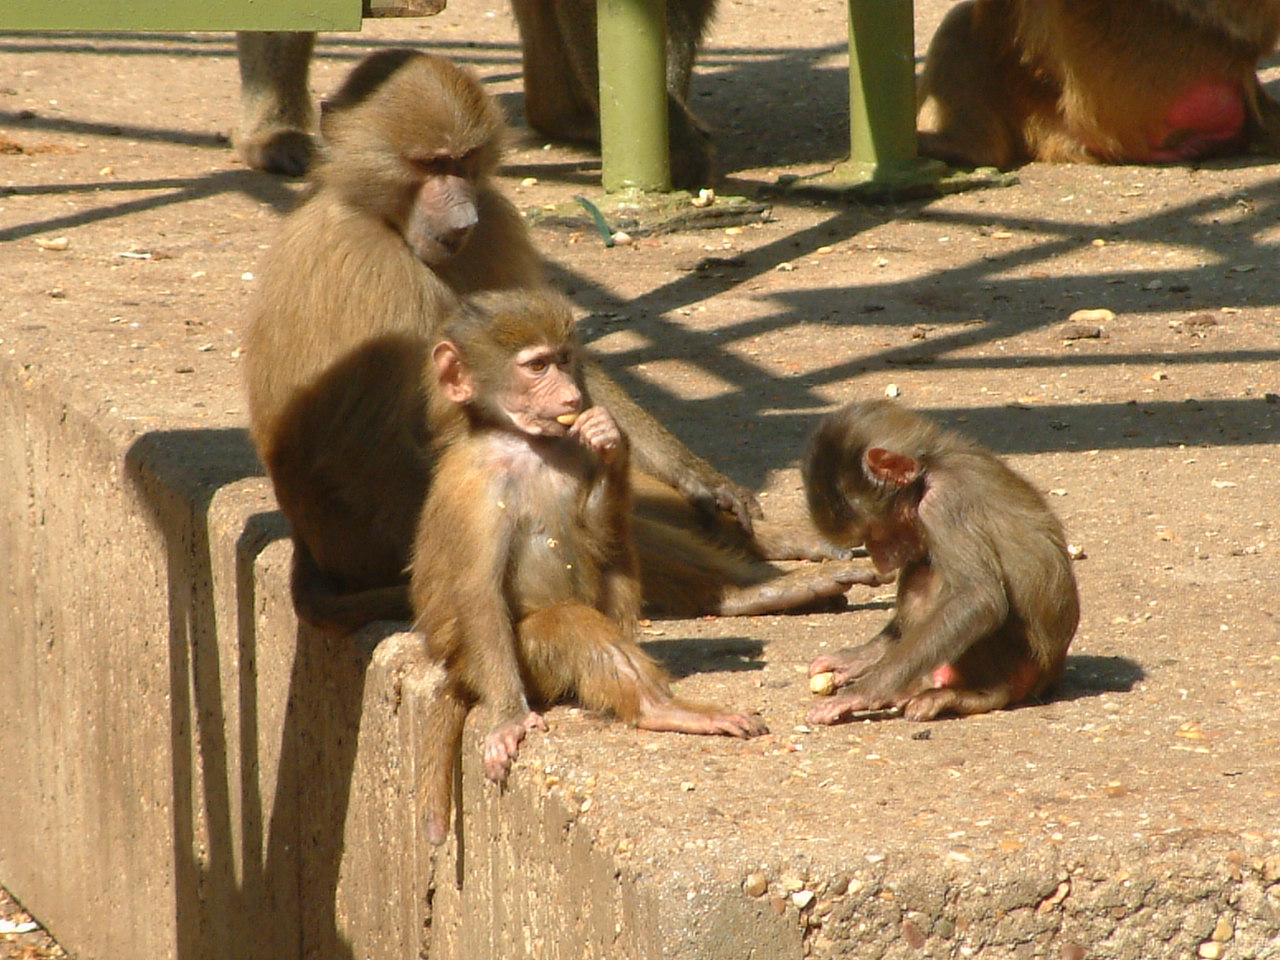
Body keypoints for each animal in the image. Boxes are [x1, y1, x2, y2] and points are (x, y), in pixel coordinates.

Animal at [245, 49, 879, 632]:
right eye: (428, 163)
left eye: (464, 161)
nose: (461, 220)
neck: (380, 217)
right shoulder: (374, 273)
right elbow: (368, 449)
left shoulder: (494, 221)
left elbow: (561, 352)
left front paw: (706, 486)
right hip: (367, 548)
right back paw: (748, 591)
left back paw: (770, 543)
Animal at [410, 290, 767, 843]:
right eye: (536, 367)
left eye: (563, 360)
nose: (569, 396)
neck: (523, 444)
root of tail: (456, 672)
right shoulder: (478, 488)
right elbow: (477, 593)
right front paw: (509, 720)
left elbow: (599, 537)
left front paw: (611, 444)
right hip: (515, 666)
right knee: (569, 625)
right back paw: (660, 710)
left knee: (615, 557)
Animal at [800, 400, 1079, 724]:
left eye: (874, 533)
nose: (881, 562)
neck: (933, 468)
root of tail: (1052, 674)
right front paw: (857, 659)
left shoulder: (944, 503)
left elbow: (978, 598)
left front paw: (860, 694)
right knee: (921, 571)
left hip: (1020, 664)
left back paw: (980, 693)